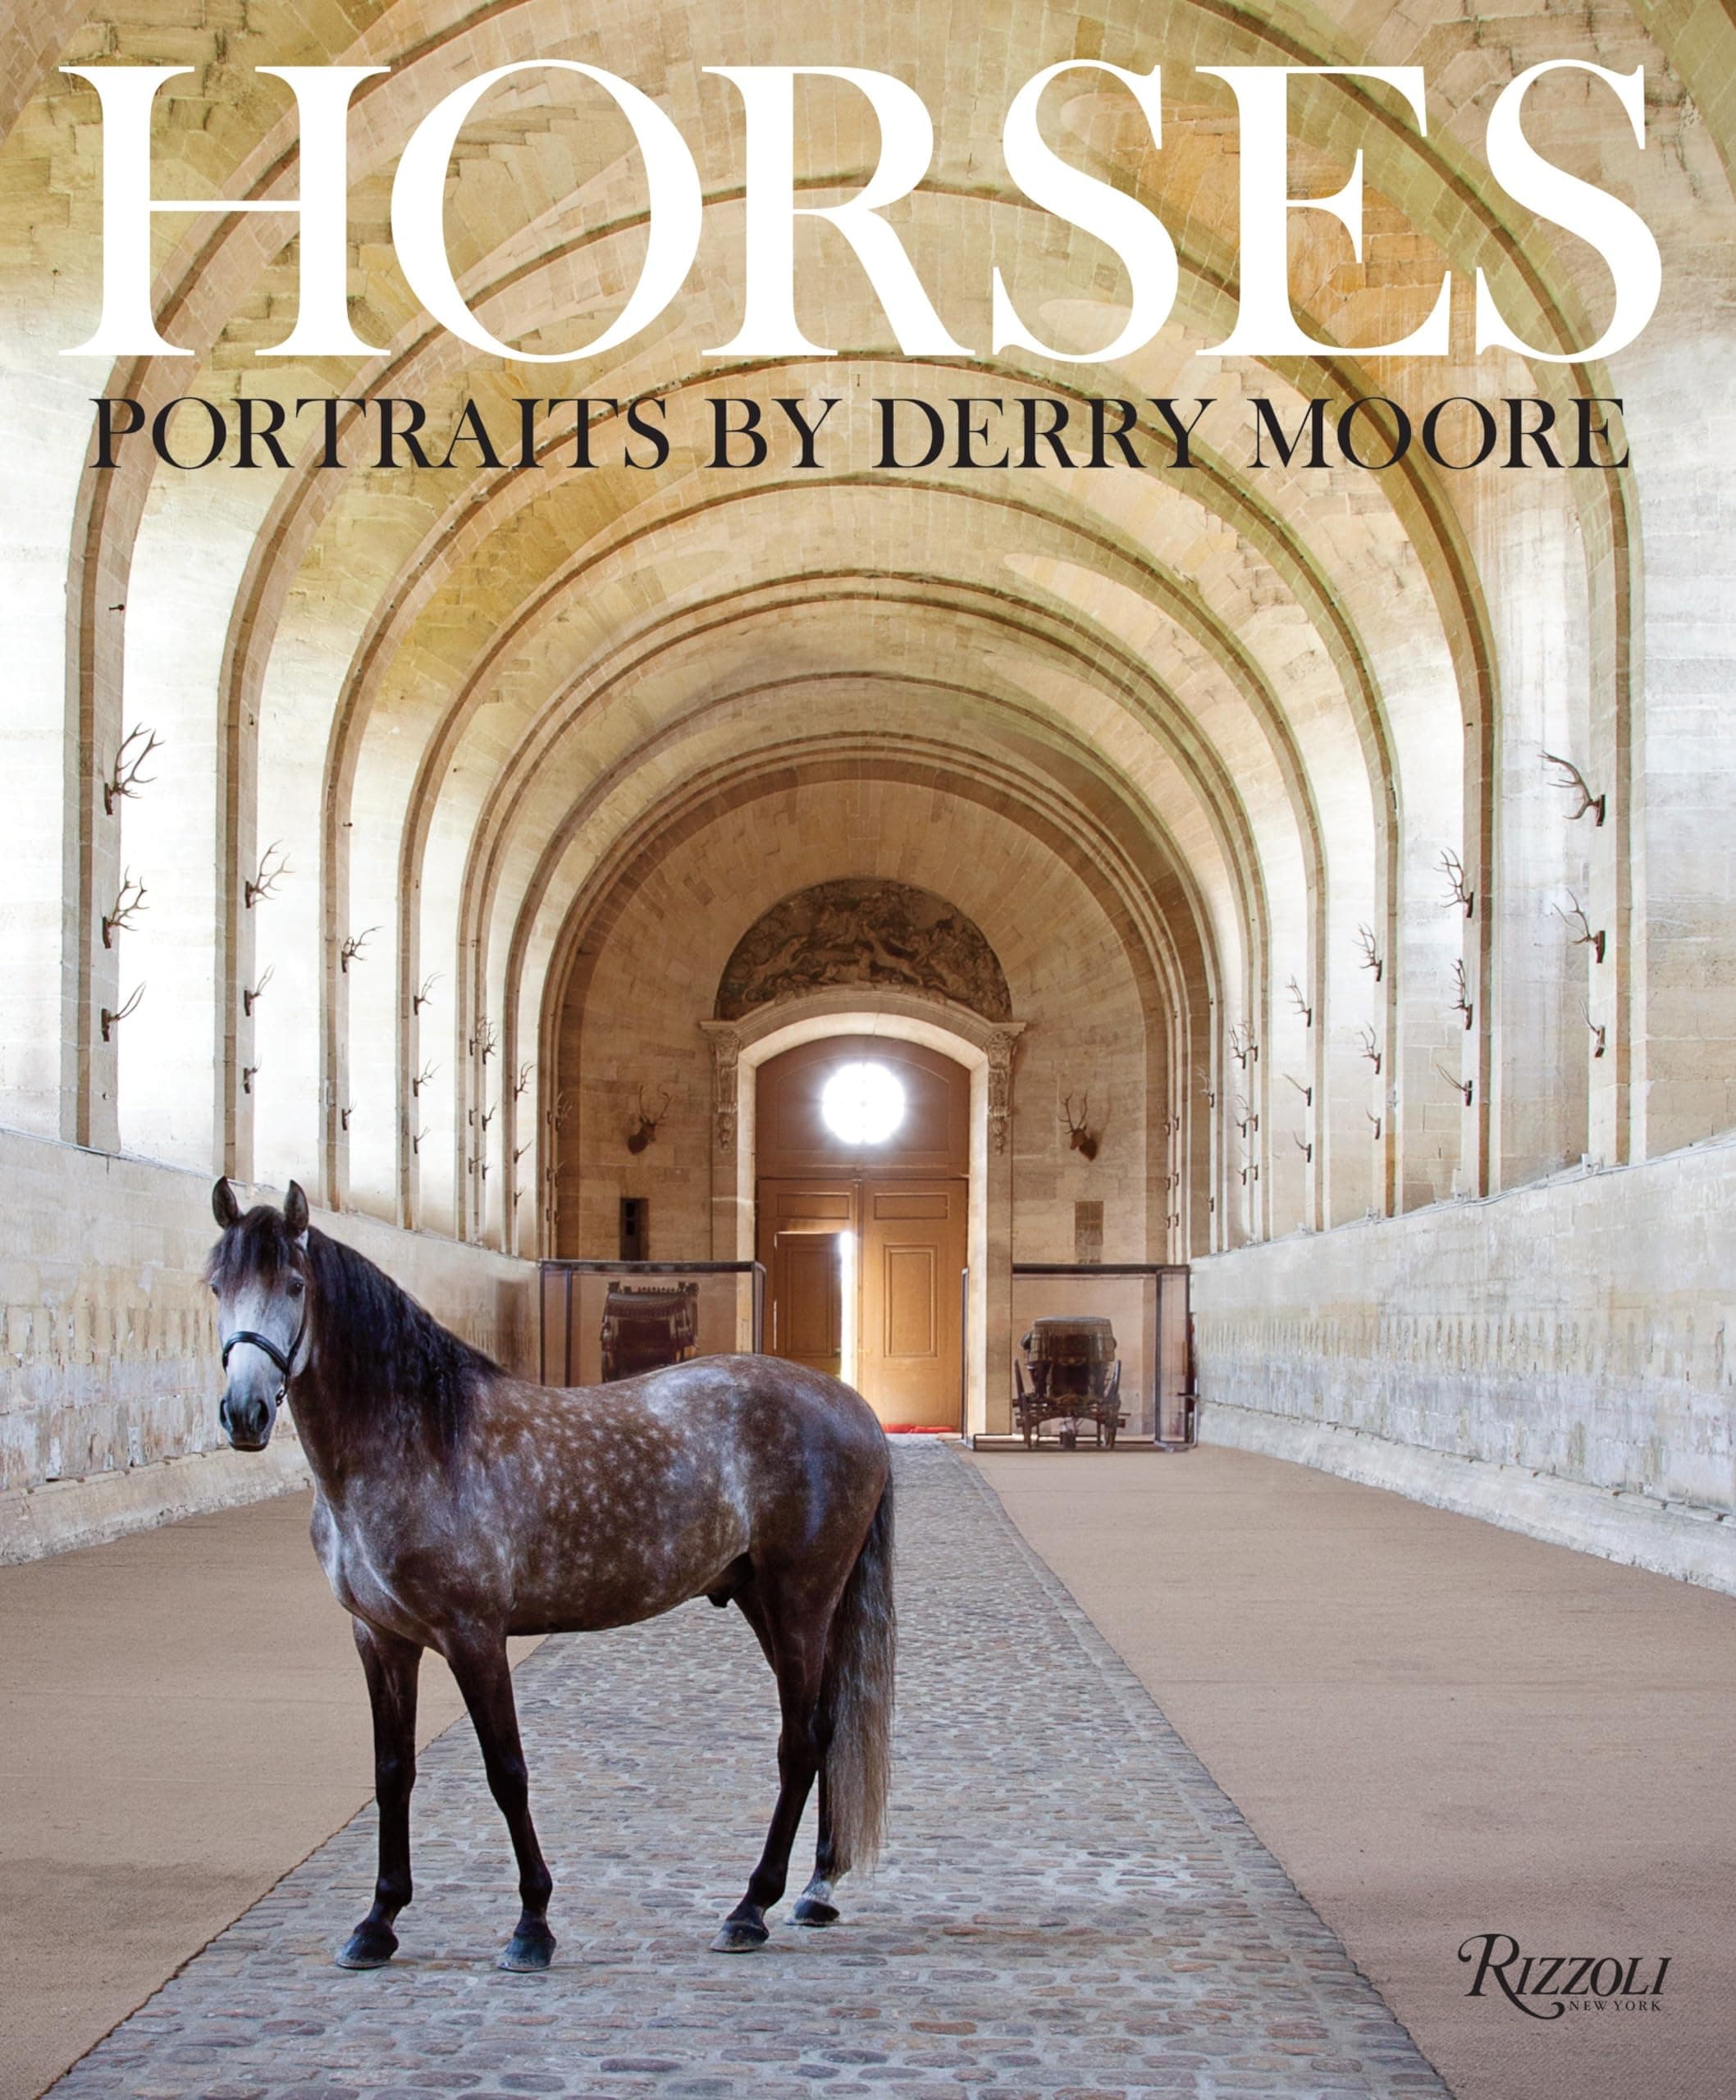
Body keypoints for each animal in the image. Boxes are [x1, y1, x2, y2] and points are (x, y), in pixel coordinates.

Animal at [206, 1177, 894, 1972]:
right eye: (216, 1285)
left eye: (294, 1285)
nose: (245, 1414)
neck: (422, 1437)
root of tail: (854, 1407)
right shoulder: (381, 1639)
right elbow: (392, 1773)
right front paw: (377, 1922)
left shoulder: (473, 1637)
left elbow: (506, 1771)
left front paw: (532, 1924)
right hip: (768, 1600)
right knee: (826, 1728)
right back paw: (817, 1889)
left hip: (800, 1601)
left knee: (801, 1742)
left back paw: (751, 1908)